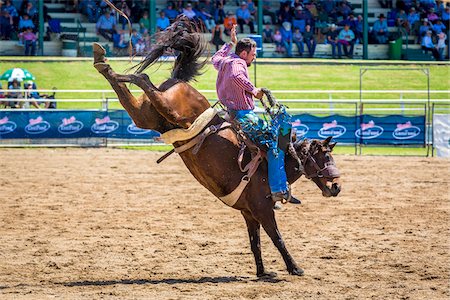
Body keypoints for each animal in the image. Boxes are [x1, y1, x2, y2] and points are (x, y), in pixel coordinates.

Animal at [92, 16, 342, 278]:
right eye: (326, 157)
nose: (336, 186)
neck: (278, 161)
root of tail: (178, 80)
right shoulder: (262, 209)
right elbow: (277, 238)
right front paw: (294, 268)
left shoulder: (248, 213)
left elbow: (255, 243)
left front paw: (263, 272)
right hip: (169, 109)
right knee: (144, 80)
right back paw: (123, 71)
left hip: (147, 116)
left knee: (132, 97)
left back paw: (103, 63)